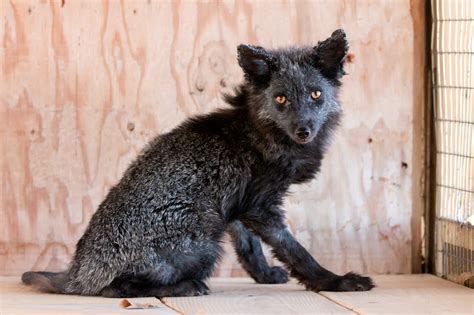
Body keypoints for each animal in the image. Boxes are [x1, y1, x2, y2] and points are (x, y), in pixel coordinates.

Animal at [23, 29, 374, 298]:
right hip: (205, 243)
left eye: (316, 94)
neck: (255, 130)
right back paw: (184, 287)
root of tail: (76, 273)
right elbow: (296, 251)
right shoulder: (260, 207)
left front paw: (264, 275)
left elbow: (250, 247)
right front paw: (334, 281)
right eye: (281, 99)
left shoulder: (235, 208)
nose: (304, 130)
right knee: (114, 288)